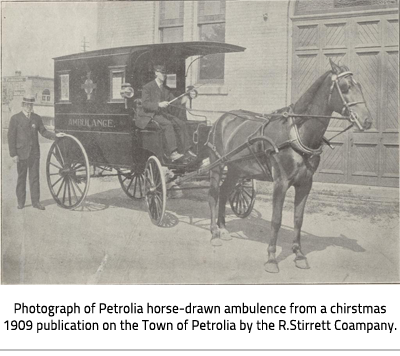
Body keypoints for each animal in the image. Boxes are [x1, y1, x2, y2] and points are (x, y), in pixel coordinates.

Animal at [208, 59, 374, 274]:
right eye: (345, 87)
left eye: (359, 86)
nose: (367, 120)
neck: (297, 133)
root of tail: (222, 119)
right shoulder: (280, 183)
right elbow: (276, 219)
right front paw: (271, 258)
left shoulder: (305, 184)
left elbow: (298, 219)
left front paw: (299, 254)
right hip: (217, 166)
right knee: (213, 194)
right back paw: (214, 233)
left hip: (237, 169)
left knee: (224, 191)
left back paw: (223, 229)